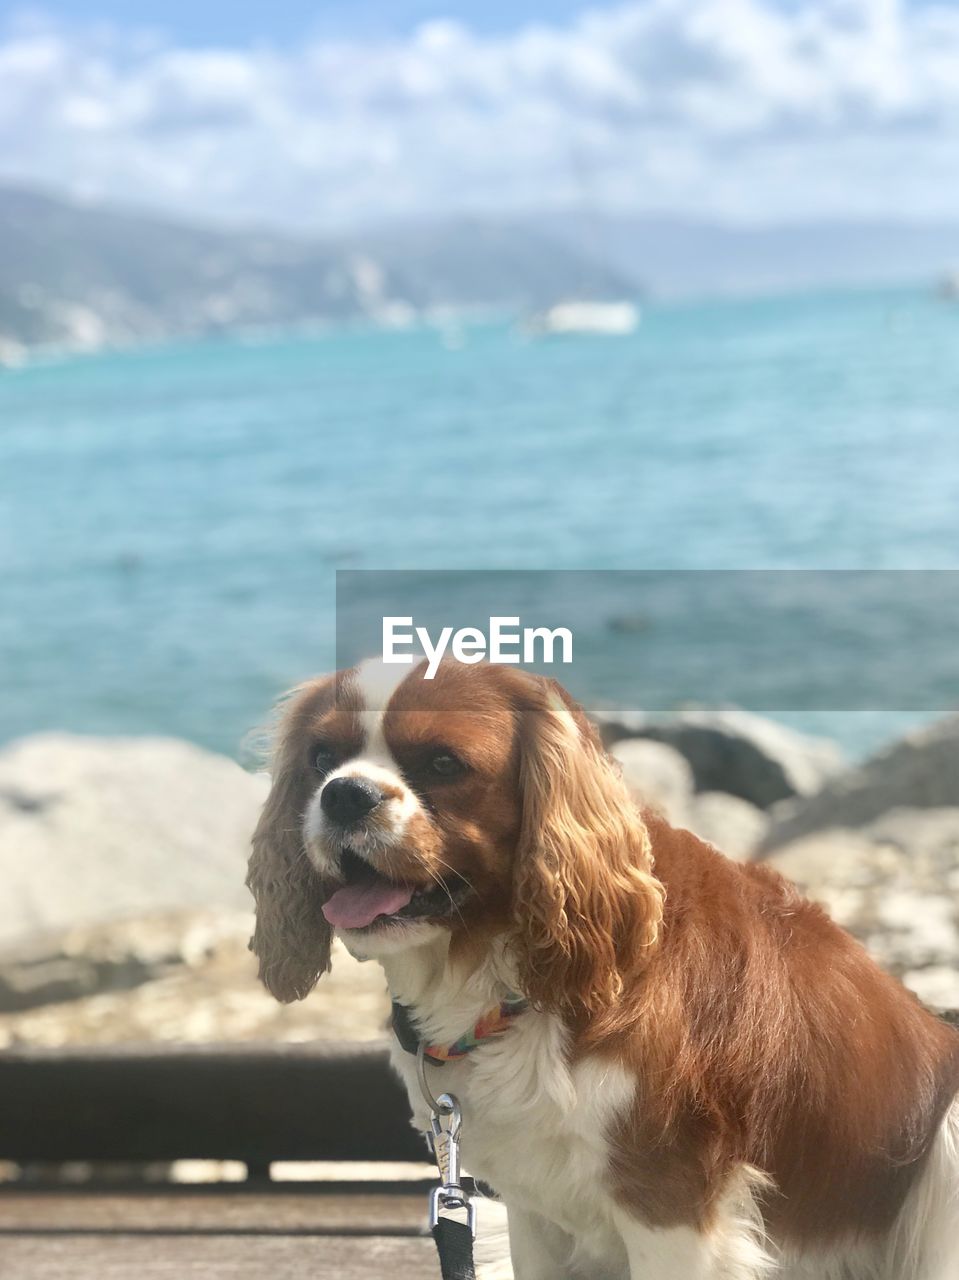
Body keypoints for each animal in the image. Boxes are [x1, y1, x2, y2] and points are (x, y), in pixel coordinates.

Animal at [247, 660, 957, 1280]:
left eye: (443, 763)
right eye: (320, 760)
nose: (344, 795)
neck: (500, 978)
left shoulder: (670, 1207)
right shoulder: (533, 1206)